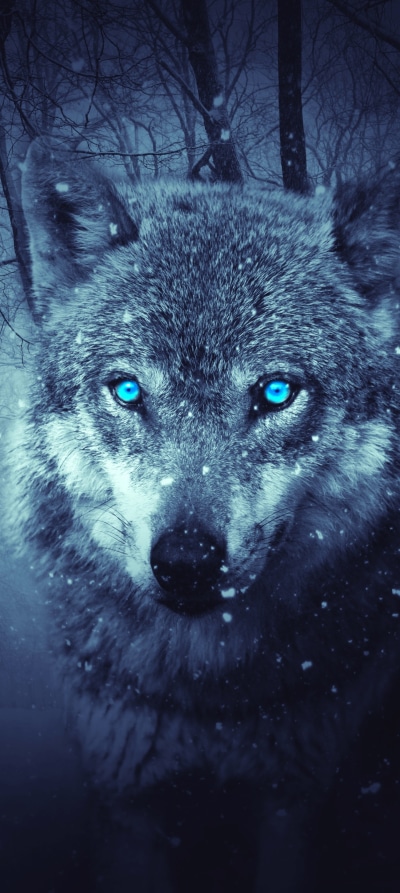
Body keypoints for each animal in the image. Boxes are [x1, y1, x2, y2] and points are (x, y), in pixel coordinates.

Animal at [2, 138, 400, 891]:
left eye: (275, 392)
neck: (209, 697)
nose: (186, 561)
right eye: (128, 390)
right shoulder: (128, 800)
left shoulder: (292, 800)